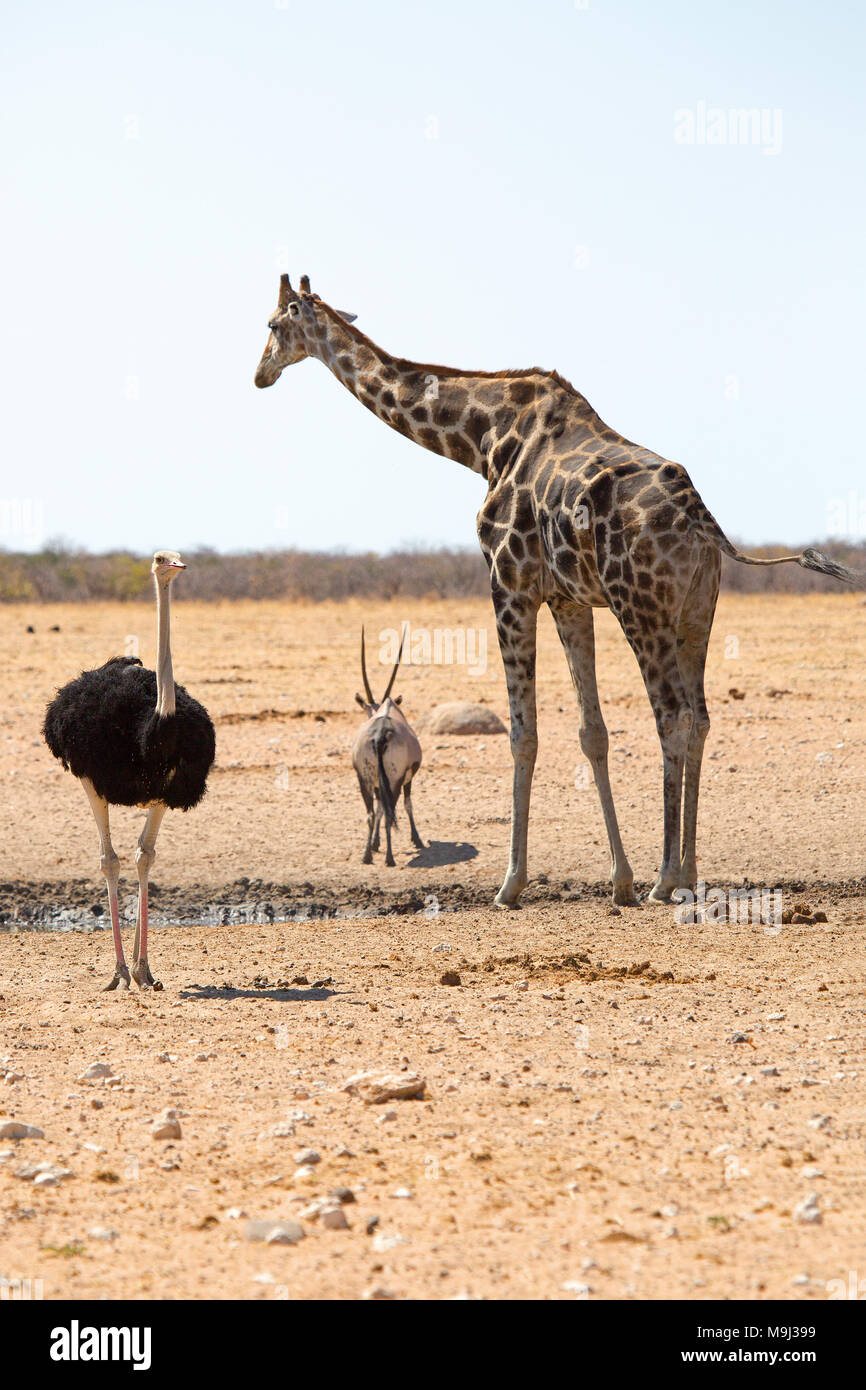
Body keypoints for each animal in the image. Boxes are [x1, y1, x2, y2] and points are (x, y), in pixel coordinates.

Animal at [254, 275, 856, 906]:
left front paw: (511, 883)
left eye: (272, 325)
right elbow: (592, 732)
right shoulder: (568, 599)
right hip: (697, 610)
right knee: (701, 715)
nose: (259, 374)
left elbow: (524, 734)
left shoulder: (509, 584)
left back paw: (667, 878)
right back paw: (688, 871)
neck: (481, 439)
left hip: (640, 606)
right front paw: (618, 880)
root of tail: (701, 517)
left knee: (672, 716)